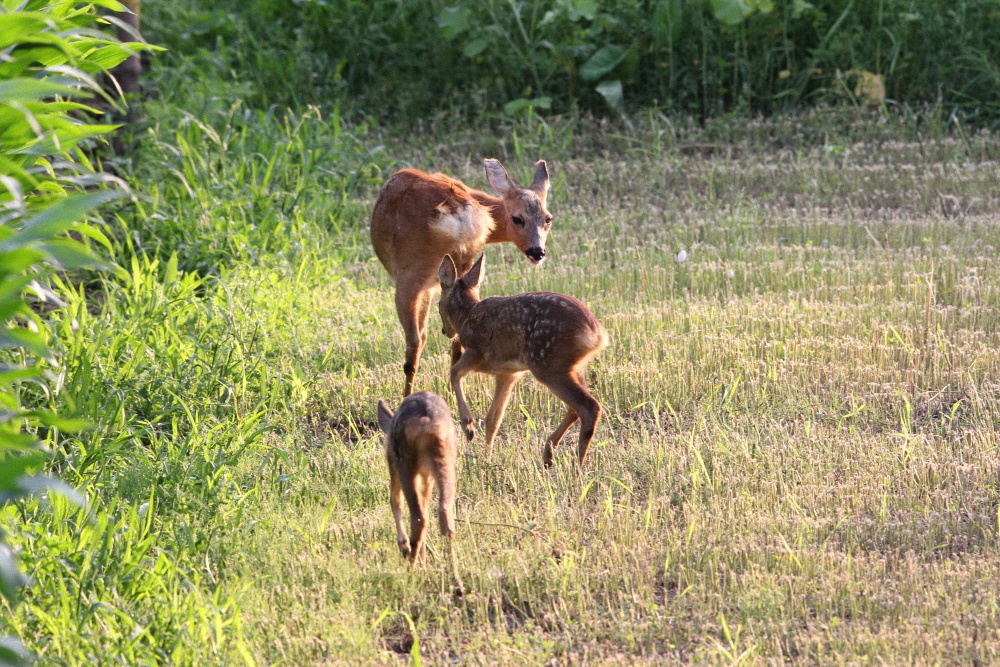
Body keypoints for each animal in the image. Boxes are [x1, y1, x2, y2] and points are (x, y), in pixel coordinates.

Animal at [440, 253, 608, 468]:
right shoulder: (507, 373)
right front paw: (487, 457)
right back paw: (548, 455)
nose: (445, 331)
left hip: (547, 364)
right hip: (572, 367)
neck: (466, 318)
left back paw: (576, 467)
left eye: (438, 304)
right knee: (575, 408)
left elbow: (453, 373)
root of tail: (597, 335)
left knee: (588, 407)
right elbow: (493, 419)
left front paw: (468, 427)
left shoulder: (476, 353)